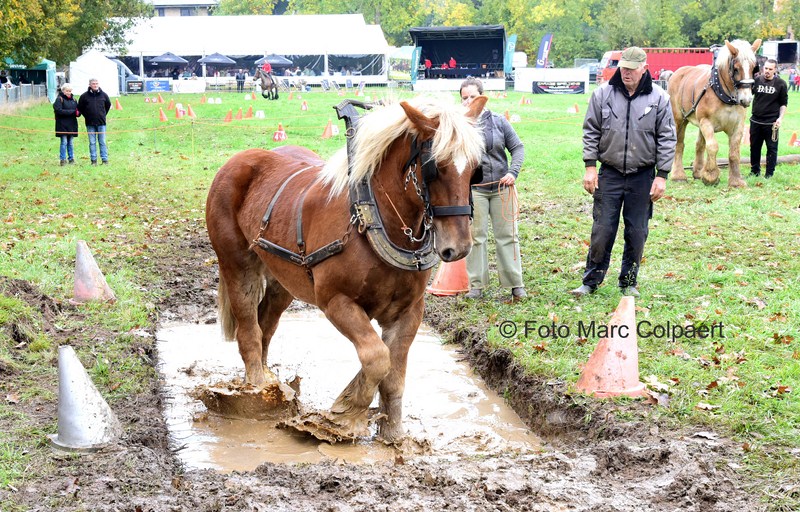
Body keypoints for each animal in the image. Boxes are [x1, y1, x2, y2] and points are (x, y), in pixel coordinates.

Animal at [205, 96, 487, 442]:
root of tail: (240, 160)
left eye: (475, 169)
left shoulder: (410, 310)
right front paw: (344, 414)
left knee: (265, 326)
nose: (458, 247)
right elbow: (377, 358)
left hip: (283, 279)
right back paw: (257, 392)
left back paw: (272, 386)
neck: (374, 219)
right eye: (435, 167)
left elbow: (394, 375)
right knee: (249, 331)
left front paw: (393, 436)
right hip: (237, 265)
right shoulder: (336, 301)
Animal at [667, 39, 761, 187]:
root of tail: (677, 73)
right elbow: (712, 146)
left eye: (754, 68)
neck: (726, 95)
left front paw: (736, 181)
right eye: (736, 68)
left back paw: (698, 171)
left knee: (699, 144)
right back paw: (678, 175)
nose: (746, 99)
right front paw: (711, 176)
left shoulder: (738, 125)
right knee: (679, 144)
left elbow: (734, 152)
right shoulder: (706, 122)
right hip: (679, 119)